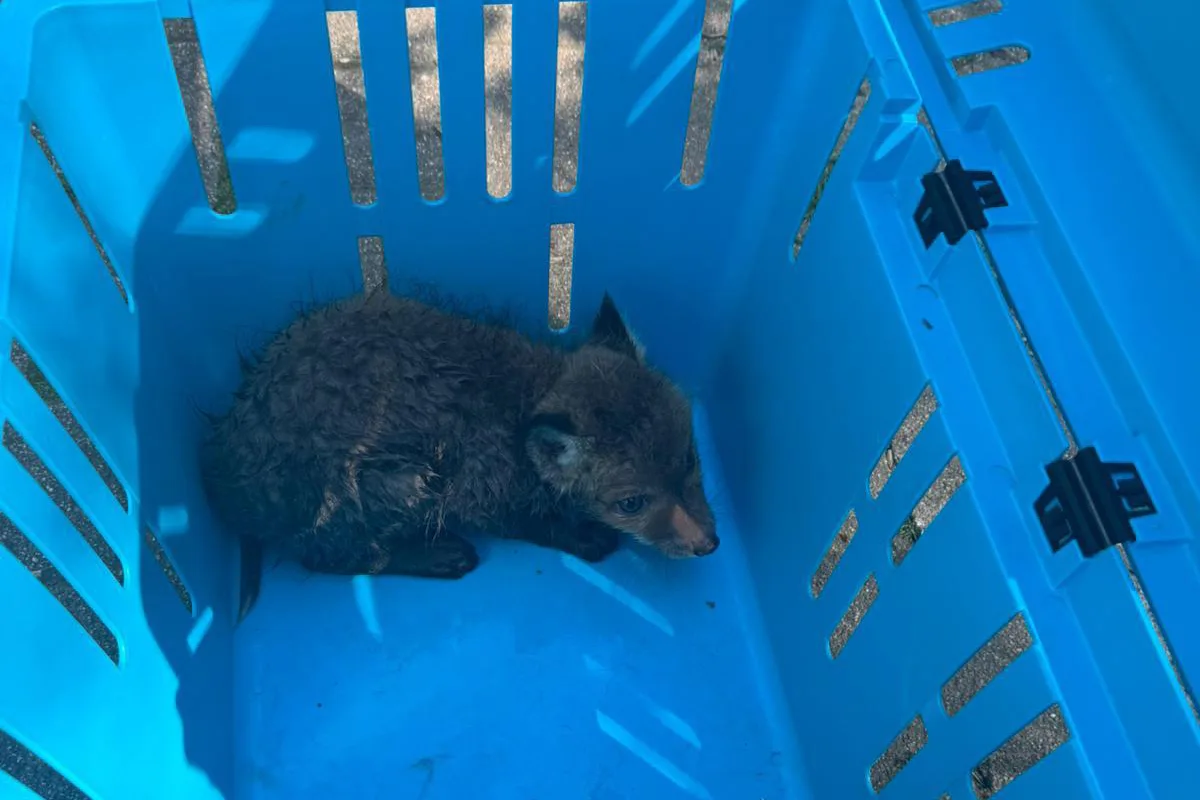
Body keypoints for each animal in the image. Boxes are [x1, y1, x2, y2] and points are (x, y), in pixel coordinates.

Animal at [200, 290, 719, 620]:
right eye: (631, 503)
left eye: (690, 461)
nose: (709, 545)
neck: (532, 391)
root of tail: (226, 487)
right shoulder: (479, 490)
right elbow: (531, 523)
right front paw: (585, 538)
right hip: (397, 482)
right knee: (324, 556)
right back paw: (438, 556)